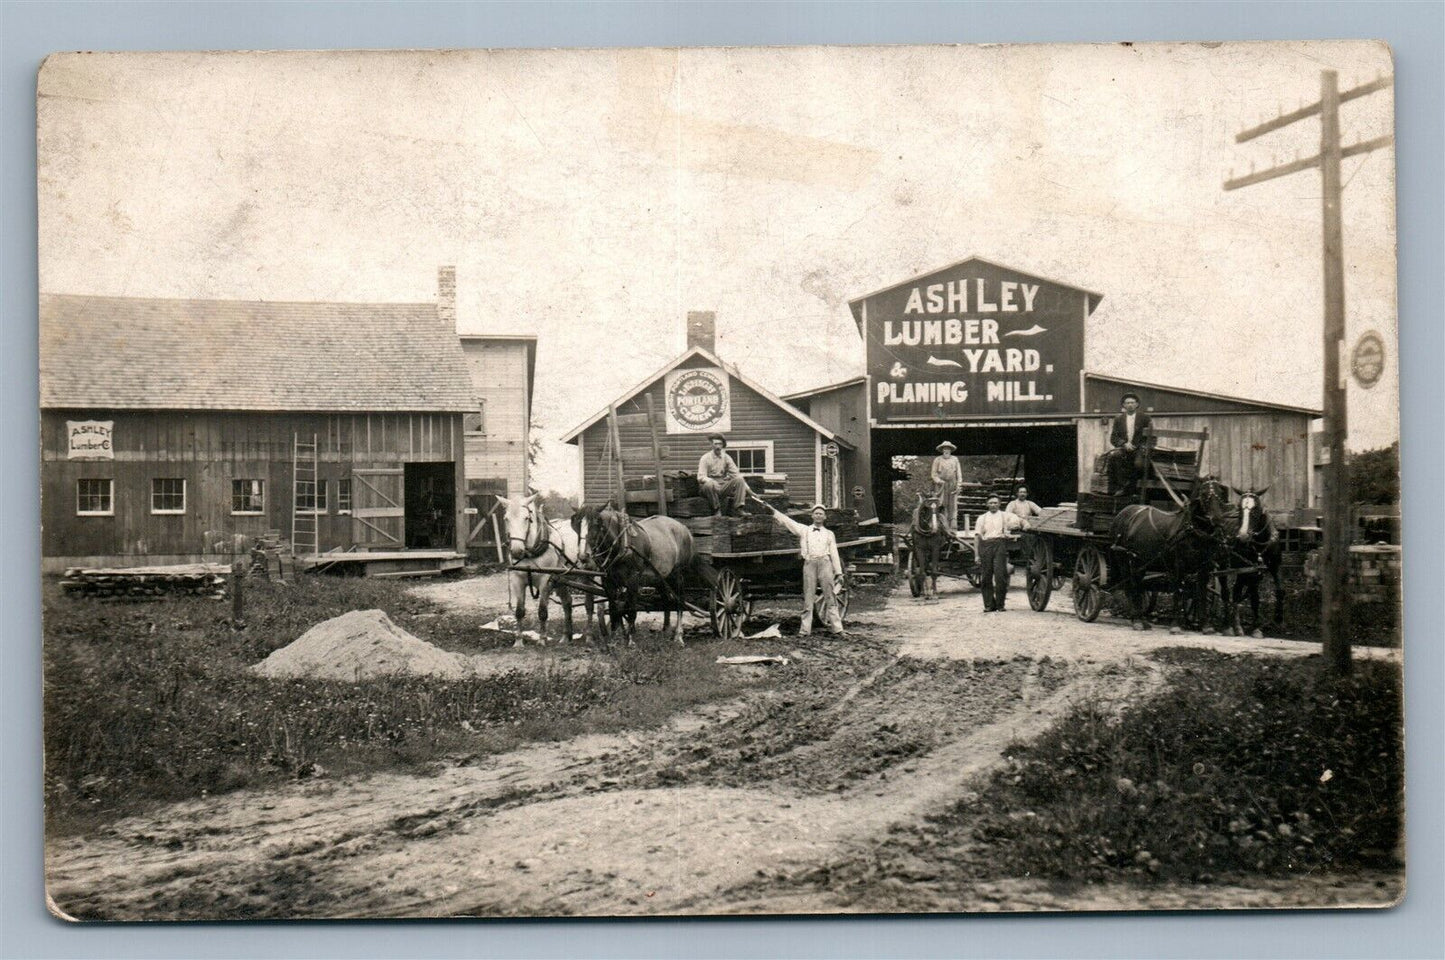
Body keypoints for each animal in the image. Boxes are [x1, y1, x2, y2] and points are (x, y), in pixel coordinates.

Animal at [499, 494, 595, 644]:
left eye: (526, 518)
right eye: (506, 518)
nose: (516, 551)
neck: (531, 552)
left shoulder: (545, 580)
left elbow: (542, 611)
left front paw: (542, 639)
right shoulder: (517, 580)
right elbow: (519, 611)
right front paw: (519, 641)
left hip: (587, 576)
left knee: (589, 605)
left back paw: (589, 636)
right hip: (561, 580)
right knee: (567, 603)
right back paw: (565, 637)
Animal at [572, 503, 702, 644]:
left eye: (596, 524)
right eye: (577, 525)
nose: (583, 556)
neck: (622, 544)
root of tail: (684, 528)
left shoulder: (633, 580)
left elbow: (631, 609)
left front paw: (630, 639)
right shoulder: (609, 582)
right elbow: (614, 609)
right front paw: (614, 638)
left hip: (678, 575)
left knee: (680, 602)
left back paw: (678, 635)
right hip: (659, 578)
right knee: (666, 600)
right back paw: (666, 631)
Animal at [1103, 477, 1231, 633]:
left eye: (1220, 495)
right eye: (1204, 495)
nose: (1218, 520)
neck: (1193, 532)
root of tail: (1123, 513)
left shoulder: (1204, 567)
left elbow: (1201, 593)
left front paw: (1206, 625)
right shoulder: (1178, 566)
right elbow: (1177, 591)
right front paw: (1176, 624)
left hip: (1140, 562)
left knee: (1138, 586)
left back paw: (1142, 620)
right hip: (1125, 560)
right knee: (1130, 587)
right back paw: (1137, 620)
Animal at [1219, 488, 1288, 636]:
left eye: (1256, 509)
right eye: (1239, 508)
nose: (1242, 537)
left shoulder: (1275, 565)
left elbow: (1280, 590)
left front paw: (1279, 619)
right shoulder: (1251, 571)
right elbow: (1255, 598)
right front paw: (1256, 627)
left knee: (1237, 591)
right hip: (1224, 566)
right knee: (1226, 592)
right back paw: (1229, 625)